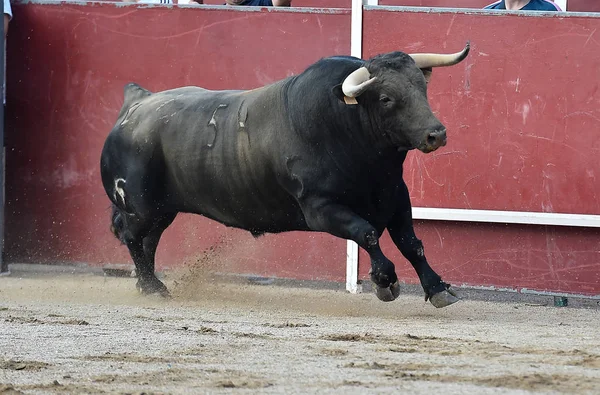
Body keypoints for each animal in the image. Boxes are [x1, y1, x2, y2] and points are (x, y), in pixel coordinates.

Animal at [101, 43, 472, 310]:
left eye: (422, 87)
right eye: (385, 98)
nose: (436, 134)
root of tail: (135, 104)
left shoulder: (395, 196)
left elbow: (412, 243)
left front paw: (439, 288)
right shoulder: (320, 208)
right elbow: (366, 233)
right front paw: (385, 281)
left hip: (162, 209)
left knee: (149, 241)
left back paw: (148, 285)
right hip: (140, 206)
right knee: (134, 238)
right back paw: (153, 287)